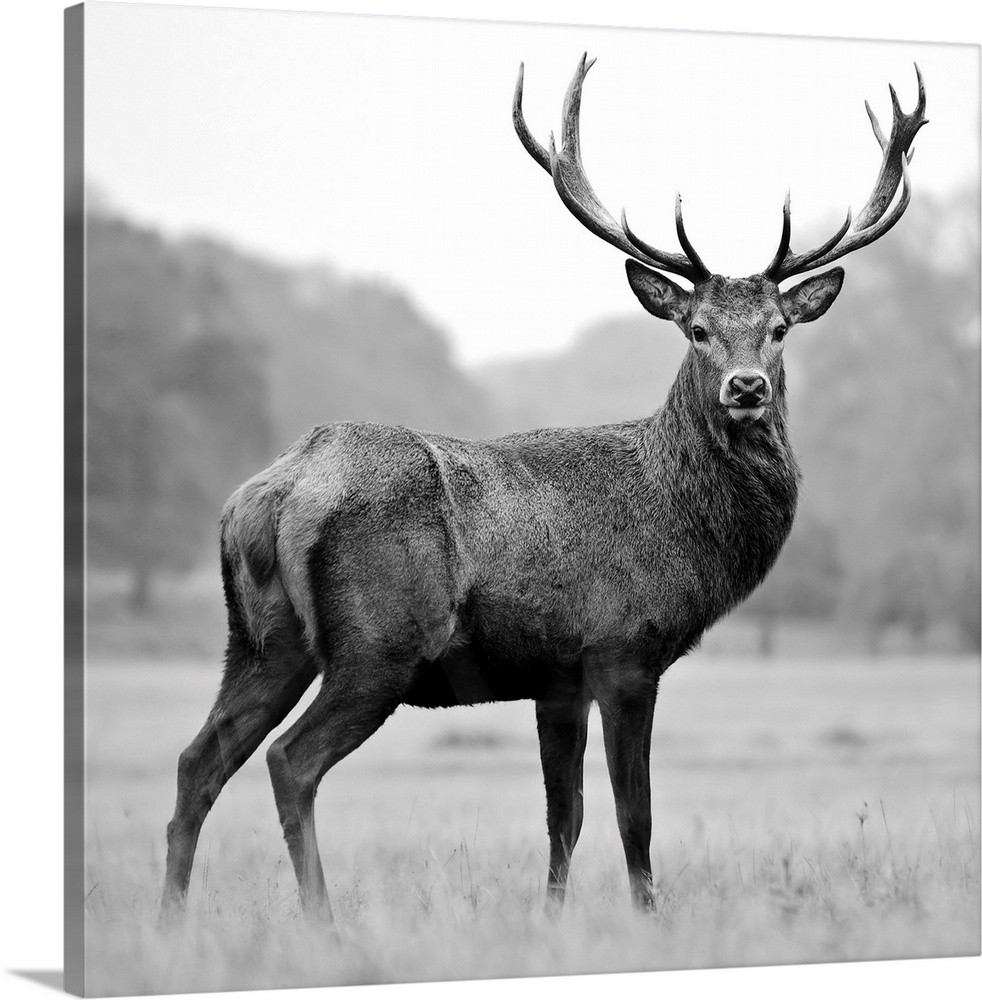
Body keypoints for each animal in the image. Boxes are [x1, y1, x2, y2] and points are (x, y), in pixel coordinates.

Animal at [161, 55, 927, 921]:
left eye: (780, 328)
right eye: (696, 328)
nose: (747, 387)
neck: (683, 527)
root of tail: (274, 492)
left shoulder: (555, 679)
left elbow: (566, 815)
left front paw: (553, 918)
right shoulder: (625, 649)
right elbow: (634, 814)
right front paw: (648, 919)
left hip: (262, 639)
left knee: (198, 759)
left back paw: (170, 922)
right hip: (377, 643)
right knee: (290, 761)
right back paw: (322, 922)